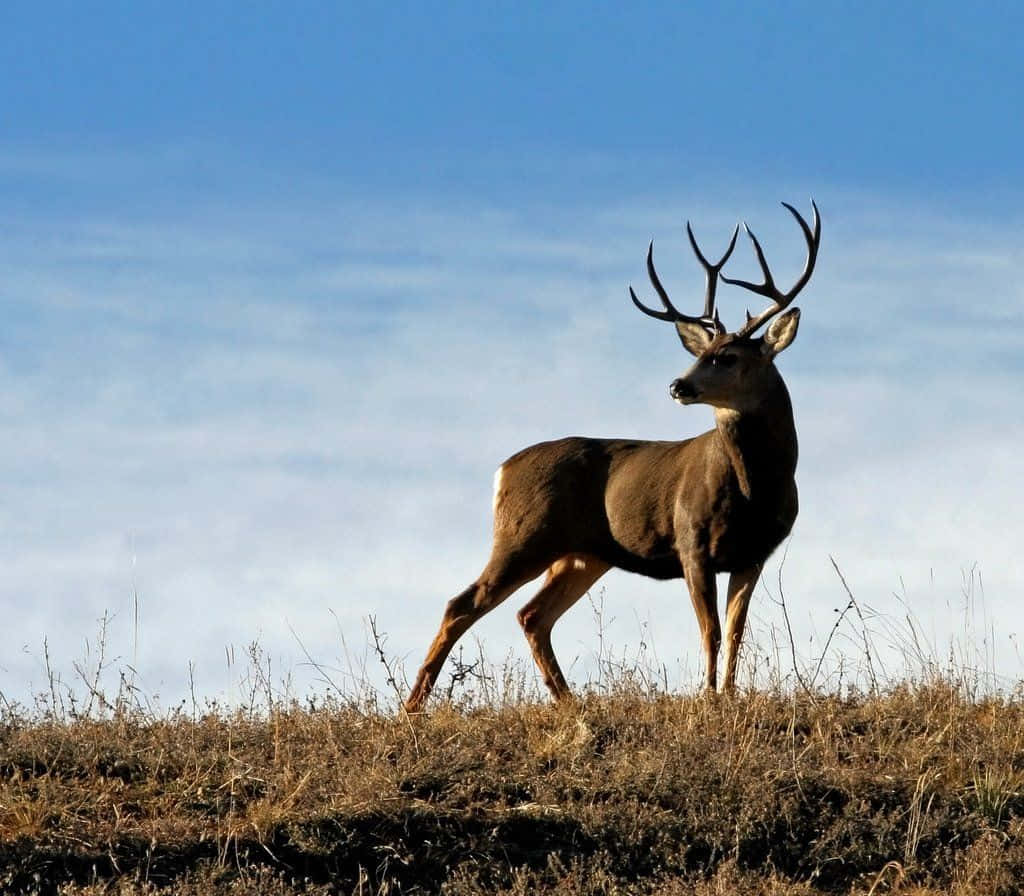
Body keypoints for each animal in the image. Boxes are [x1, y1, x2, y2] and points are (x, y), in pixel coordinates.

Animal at [403, 199, 819, 712]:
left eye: (729, 357)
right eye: (703, 352)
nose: (678, 385)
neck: (753, 490)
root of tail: (502, 471)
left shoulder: (754, 554)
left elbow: (737, 632)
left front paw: (728, 695)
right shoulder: (691, 542)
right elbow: (712, 631)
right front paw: (707, 697)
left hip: (582, 554)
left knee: (532, 615)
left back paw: (567, 701)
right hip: (523, 536)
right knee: (462, 604)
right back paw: (413, 706)